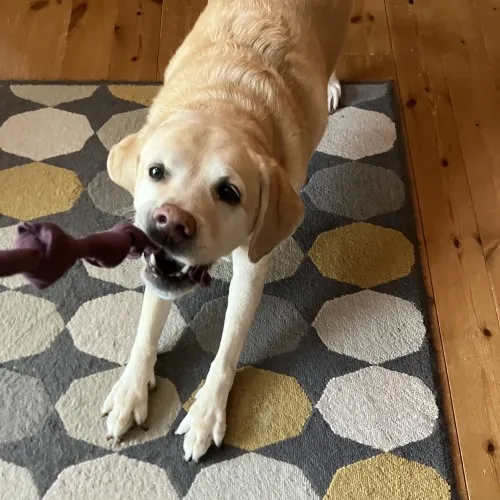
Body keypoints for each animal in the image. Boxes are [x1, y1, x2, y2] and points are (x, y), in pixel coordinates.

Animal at [101, 0, 352, 460]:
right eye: (156, 171)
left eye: (229, 192)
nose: (171, 222)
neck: (224, 101)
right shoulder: (158, 268)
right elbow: (147, 326)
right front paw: (131, 390)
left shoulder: (252, 265)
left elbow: (228, 346)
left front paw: (206, 413)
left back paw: (331, 84)